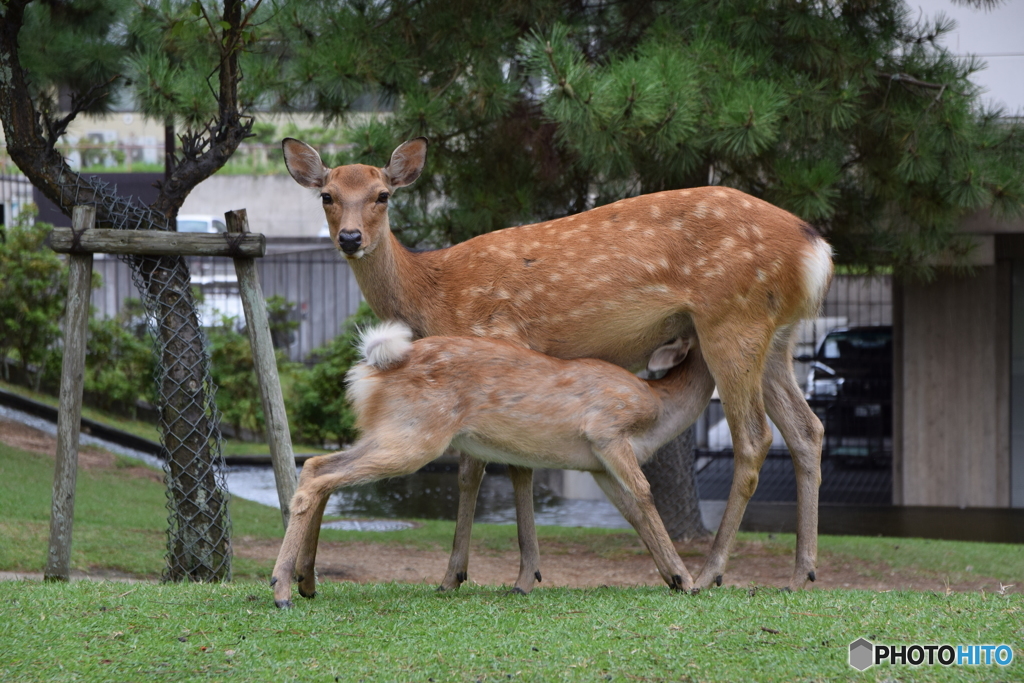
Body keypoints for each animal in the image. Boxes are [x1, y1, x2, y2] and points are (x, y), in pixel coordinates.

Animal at [268, 327, 708, 610]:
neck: (658, 406)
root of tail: (369, 371)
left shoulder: (596, 465)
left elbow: (632, 510)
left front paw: (673, 577)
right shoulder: (608, 431)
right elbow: (646, 493)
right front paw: (688, 580)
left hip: (391, 432)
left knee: (317, 465)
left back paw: (305, 582)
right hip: (414, 437)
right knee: (322, 476)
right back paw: (281, 590)